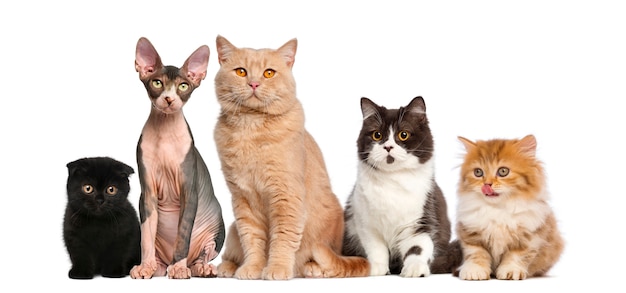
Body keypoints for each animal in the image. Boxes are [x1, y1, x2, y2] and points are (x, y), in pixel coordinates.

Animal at [212, 35, 368, 280]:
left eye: (268, 73)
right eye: (241, 71)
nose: (253, 84)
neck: (251, 129)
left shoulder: (286, 196)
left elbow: (283, 238)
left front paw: (276, 268)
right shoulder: (243, 200)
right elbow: (252, 240)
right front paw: (253, 268)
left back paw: (312, 268)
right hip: (233, 230)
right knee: (232, 253)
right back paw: (228, 267)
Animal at [338, 96, 460, 276]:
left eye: (403, 135)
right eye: (377, 135)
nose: (388, 146)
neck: (393, 180)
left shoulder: (421, 220)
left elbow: (418, 247)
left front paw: (415, 268)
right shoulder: (365, 223)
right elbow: (376, 248)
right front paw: (377, 268)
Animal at [450, 135, 564, 280]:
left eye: (503, 171)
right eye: (478, 172)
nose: (487, 185)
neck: (498, 208)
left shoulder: (528, 236)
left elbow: (516, 256)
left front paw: (511, 271)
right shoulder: (471, 233)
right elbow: (476, 253)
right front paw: (474, 271)